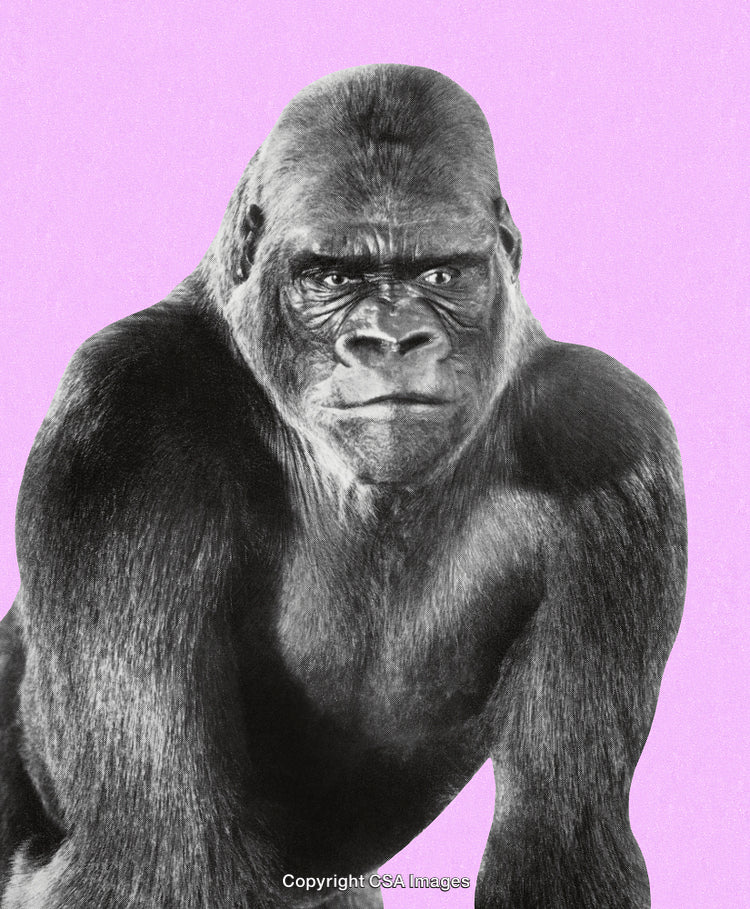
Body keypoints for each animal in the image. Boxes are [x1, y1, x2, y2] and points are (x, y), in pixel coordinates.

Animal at [0, 64, 686, 908]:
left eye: (440, 273)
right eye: (331, 276)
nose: (390, 341)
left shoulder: (610, 434)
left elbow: (562, 842)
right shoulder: (124, 418)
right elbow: (160, 858)